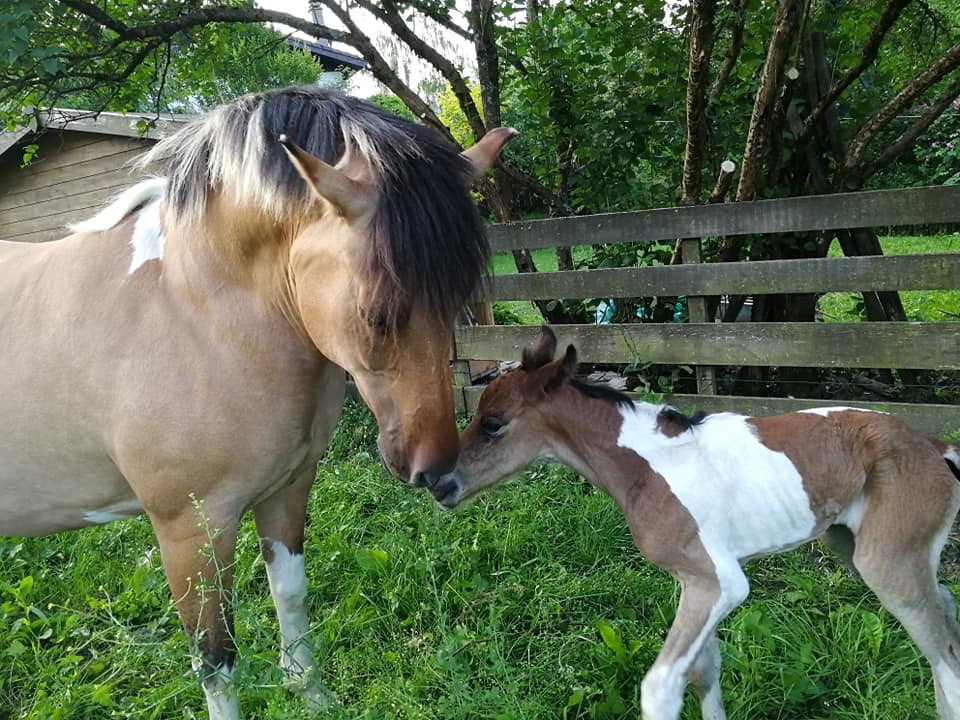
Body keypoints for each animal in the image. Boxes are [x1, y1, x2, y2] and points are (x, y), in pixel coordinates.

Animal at [0, 88, 516, 720]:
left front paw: (311, 695)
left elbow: (290, 594)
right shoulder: (190, 531)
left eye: (458, 301)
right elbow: (215, 656)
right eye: (376, 315)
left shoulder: (286, 490)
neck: (192, 311)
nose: (435, 468)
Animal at [432, 328, 960, 720]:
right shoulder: (693, 584)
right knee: (945, 606)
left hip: (884, 563)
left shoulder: (718, 582)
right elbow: (706, 669)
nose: (437, 483)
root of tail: (933, 447)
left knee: (944, 660)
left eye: (494, 423)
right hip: (853, 546)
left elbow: (661, 685)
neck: (646, 465)